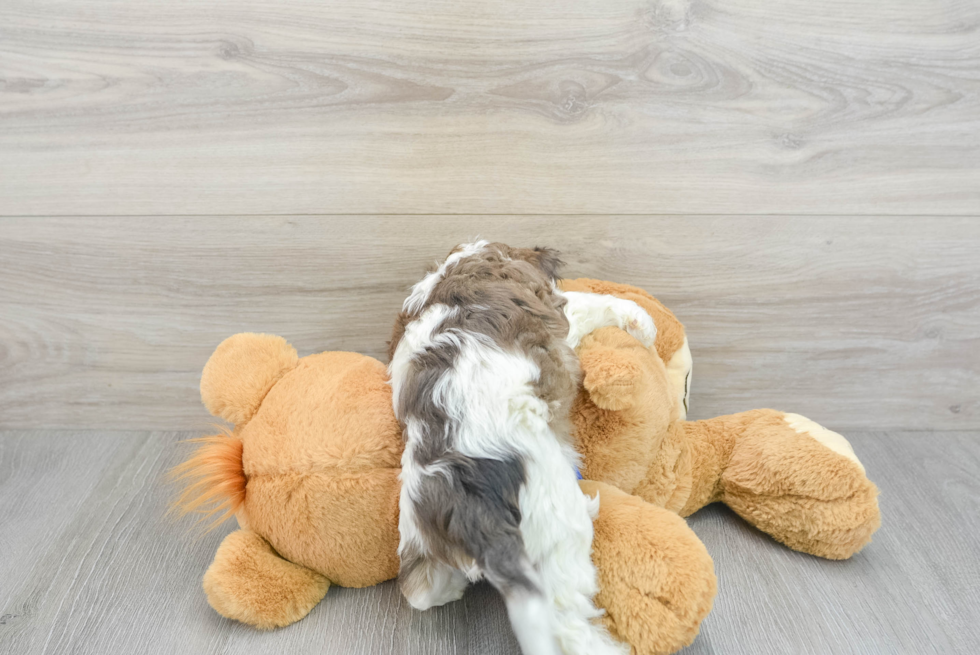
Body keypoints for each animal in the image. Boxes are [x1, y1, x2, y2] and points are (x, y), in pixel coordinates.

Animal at [386, 242, 656, 655]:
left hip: (420, 543)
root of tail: (471, 514)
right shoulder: (558, 311)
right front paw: (641, 320)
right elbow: (589, 303)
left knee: (420, 590)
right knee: (570, 626)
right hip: (556, 540)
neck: (460, 268)